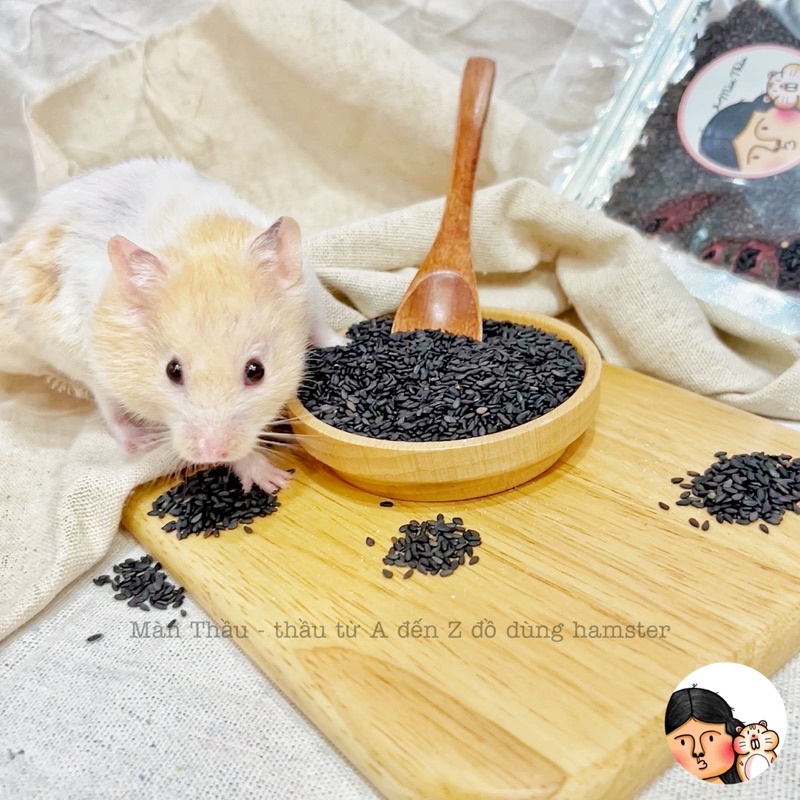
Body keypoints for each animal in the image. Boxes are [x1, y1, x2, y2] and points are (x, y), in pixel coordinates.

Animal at [0, 157, 347, 494]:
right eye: (172, 371)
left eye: (256, 371)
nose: (209, 453)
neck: (202, 236)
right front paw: (275, 480)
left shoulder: (311, 294)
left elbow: (320, 327)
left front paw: (342, 343)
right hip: (81, 360)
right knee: (109, 408)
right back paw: (138, 442)